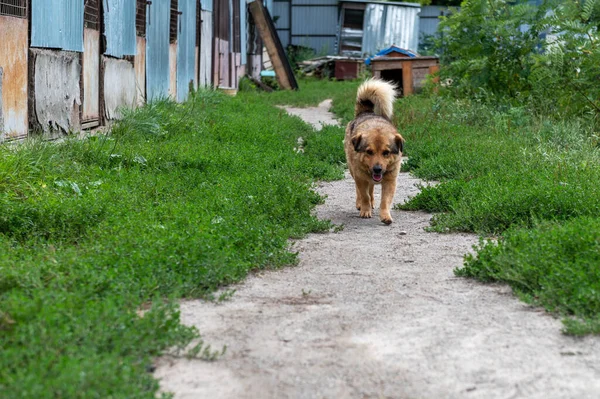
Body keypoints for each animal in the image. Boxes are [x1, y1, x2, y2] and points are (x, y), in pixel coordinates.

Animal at [342, 79, 404, 225]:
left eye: (386, 152)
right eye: (369, 152)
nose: (377, 169)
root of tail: (365, 112)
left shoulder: (390, 181)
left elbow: (385, 201)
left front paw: (385, 216)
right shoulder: (361, 178)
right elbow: (363, 195)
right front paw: (365, 210)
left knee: (371, 189)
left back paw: (372, 202)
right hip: (353, 171)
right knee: (360, 190)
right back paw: (361, 204)